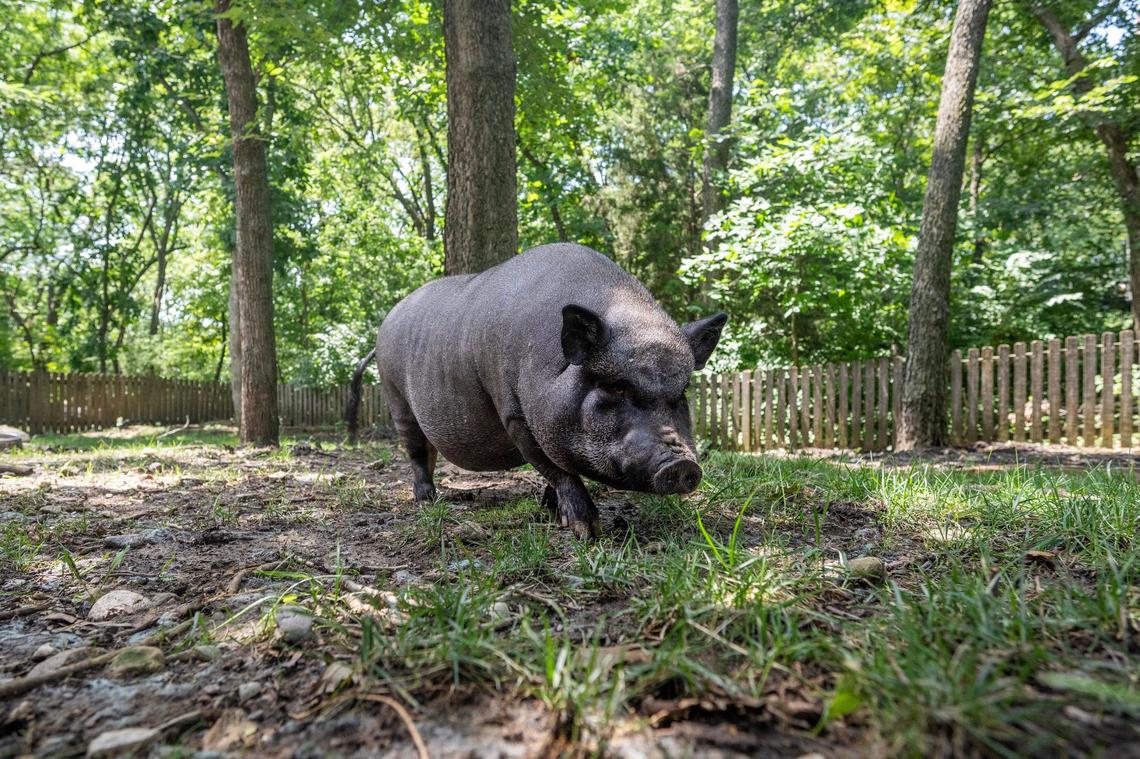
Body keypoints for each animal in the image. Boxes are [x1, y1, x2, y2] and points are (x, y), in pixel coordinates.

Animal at [346, 243, 727, 538]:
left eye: (681, 392)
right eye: (617, 387)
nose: (682, 465)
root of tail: (386, 323)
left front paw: (550, 510)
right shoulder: (515, 414)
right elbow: (557, 469)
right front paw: (587, 531)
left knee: (429, 451)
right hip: (396, 396)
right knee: (415, 451)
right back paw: (427, 500)